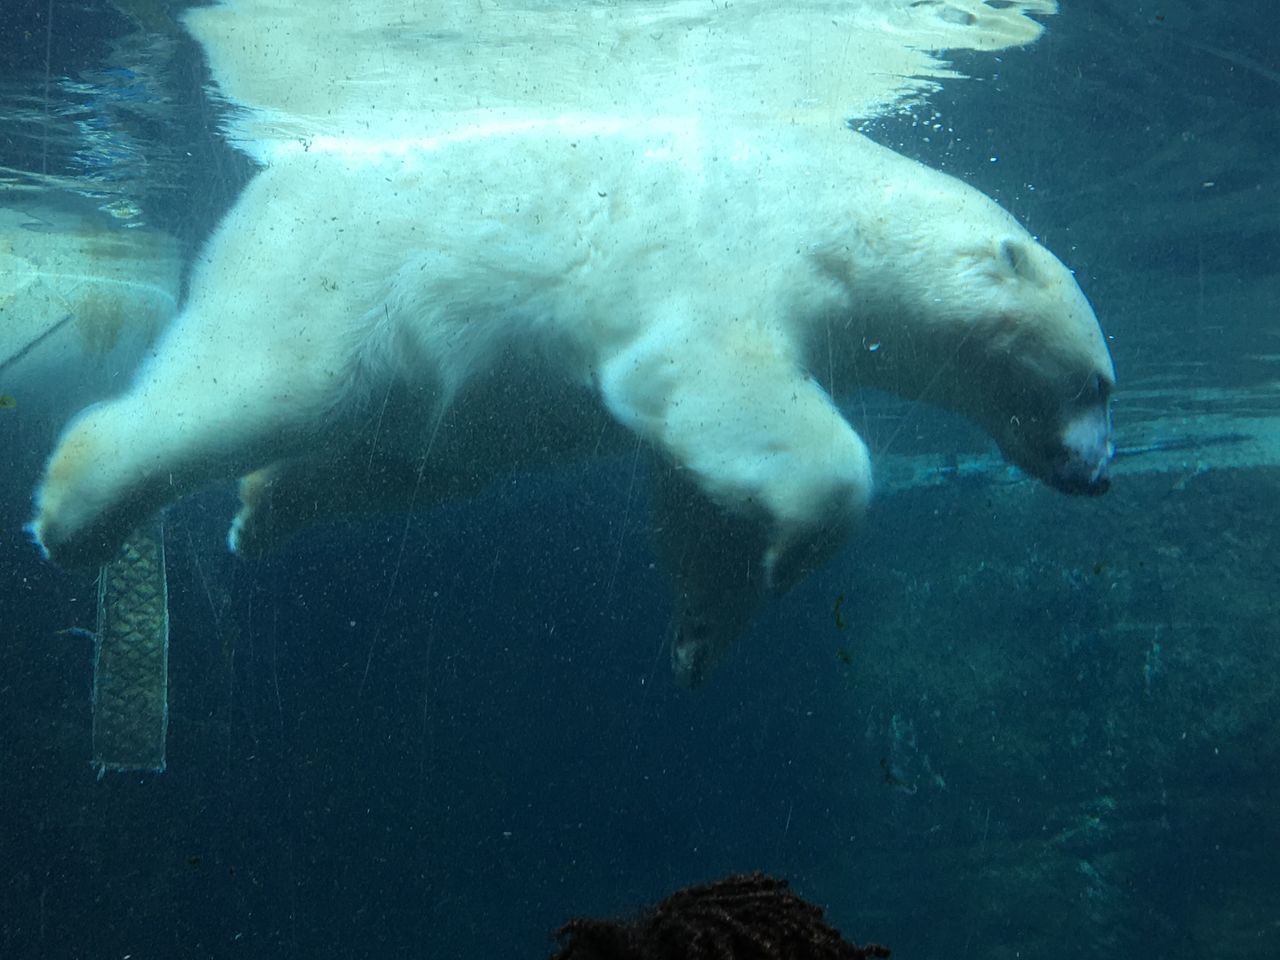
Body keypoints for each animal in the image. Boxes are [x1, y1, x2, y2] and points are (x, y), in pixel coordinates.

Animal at [27, 118, 1111, 686]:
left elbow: (694, 485)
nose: (1098, 473)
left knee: (398, 462)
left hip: (440, 393)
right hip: (342, 278)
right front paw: (798, 545)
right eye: (1097, 383)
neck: (847, 212)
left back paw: (260, 512)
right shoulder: (733, 261)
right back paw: (75, 511)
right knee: (255, 388)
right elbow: (716, 389)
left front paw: (698, 634)